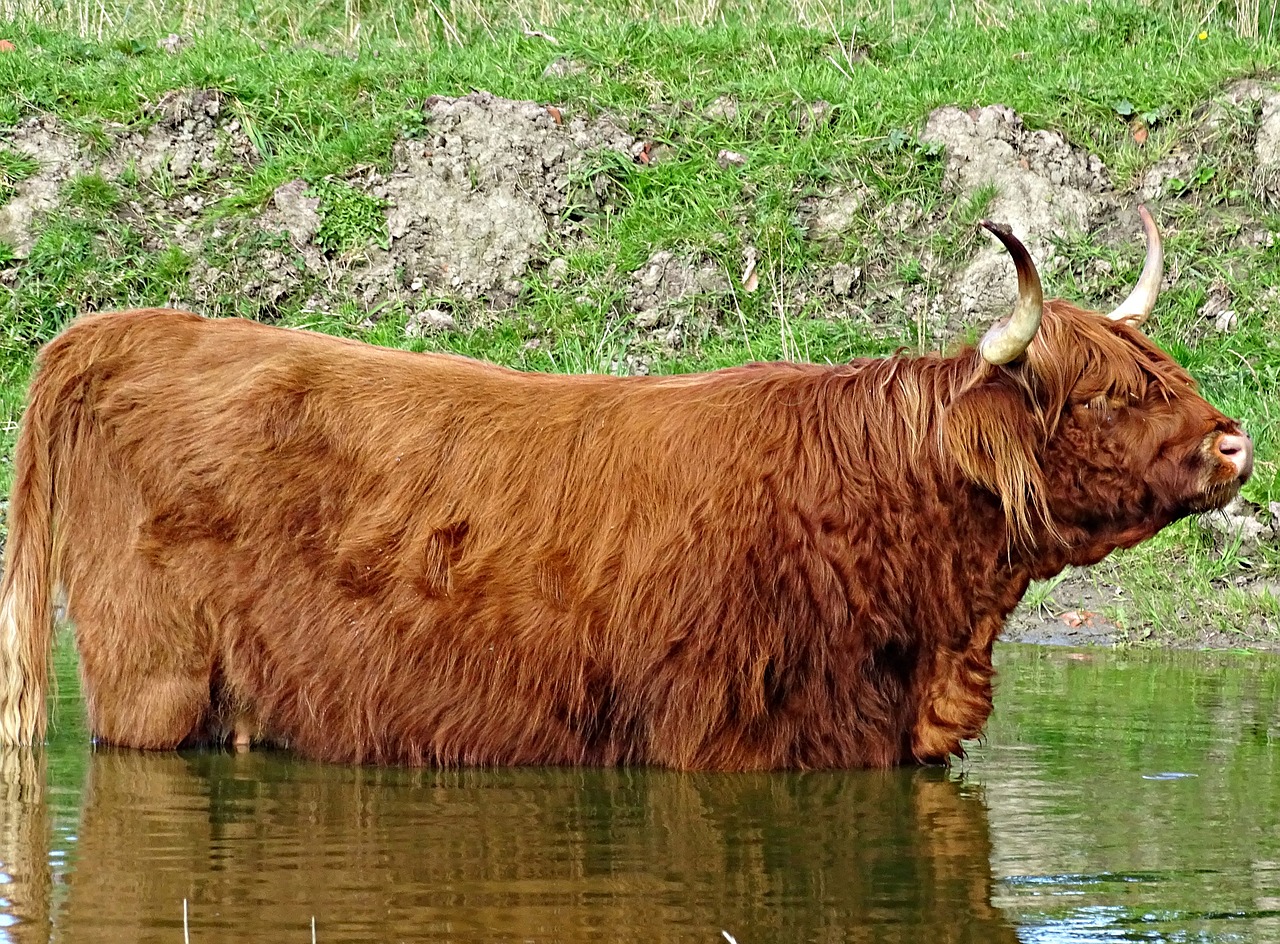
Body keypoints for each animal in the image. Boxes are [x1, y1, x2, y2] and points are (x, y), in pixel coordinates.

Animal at [0, 209, 1254, 767]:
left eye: (1163, 370)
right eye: (1104, 396)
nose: (1234, 445)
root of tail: (120, 329)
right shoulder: (716, 741)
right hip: (155, 681)